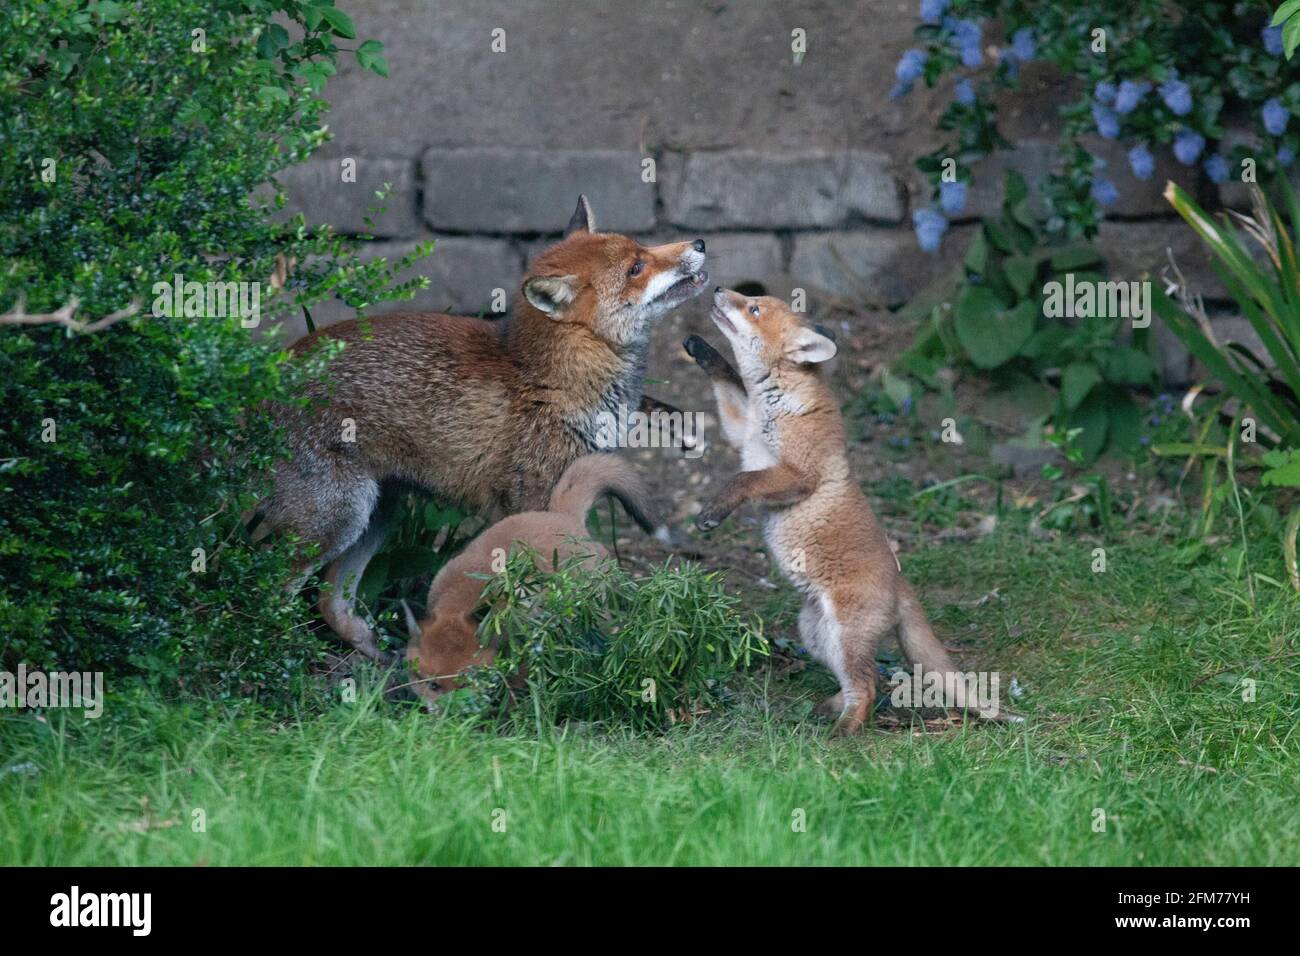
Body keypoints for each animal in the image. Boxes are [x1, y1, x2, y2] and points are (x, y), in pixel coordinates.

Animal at [254, 196, 707, 661]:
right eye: (636, 267)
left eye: (642, 248)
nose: (700, 243)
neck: (554, 378)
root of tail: (259, 386)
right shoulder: (536, 499)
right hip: (337, 520)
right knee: (269, 591)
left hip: (376, 514)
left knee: (331, 603)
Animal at [401, 453, 655, 705]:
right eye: (433, 685)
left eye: (466, 682)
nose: (451, 714)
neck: (462, 594)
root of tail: (559, 514)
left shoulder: (527, 645)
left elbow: (514, 689)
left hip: (592, 619)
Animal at [685, 288, 1008, 735]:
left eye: (753, 307)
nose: (718, 290)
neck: (775, 406)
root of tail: (901, 584)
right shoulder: (743, 432)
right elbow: (724, 377)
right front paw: (700, 347)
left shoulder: (797, 473)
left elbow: (741, 482)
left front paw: (713, 511)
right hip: (815, 633)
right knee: (862, 679)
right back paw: (832, 708)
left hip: (844, 634)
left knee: (869, 684)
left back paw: (845, 731)